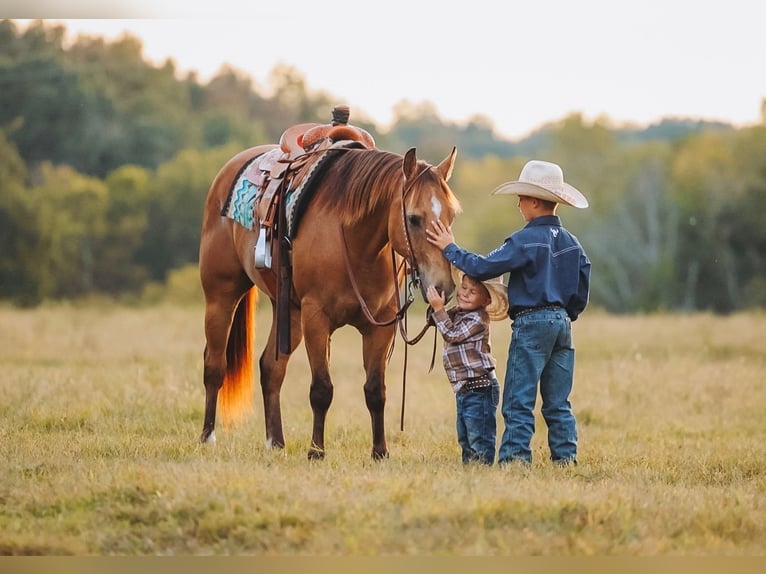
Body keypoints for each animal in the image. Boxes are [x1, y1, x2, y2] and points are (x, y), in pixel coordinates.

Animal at [198, 139, 461, 459]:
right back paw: (208, 437)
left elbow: (376, 391)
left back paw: (276, 441)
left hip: (288, 312)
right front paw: (316, 451)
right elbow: (321, 389)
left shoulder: (380, 326)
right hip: (221, 296)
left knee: (271, 368)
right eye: (413, 218)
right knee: (214, 365)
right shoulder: (316, 319)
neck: (355, 240)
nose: (443, 286)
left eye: (451, 216)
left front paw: (380, 452)